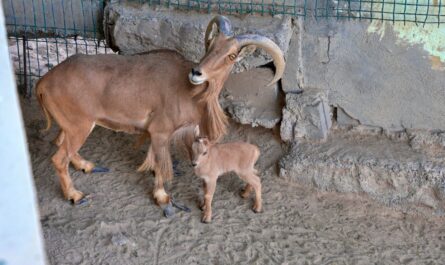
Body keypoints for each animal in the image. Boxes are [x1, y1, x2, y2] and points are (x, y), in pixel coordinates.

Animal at [35, 15, 284, 214]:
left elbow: (155, 159)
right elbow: (161, 162)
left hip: (73, 126)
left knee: (62, 145)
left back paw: (86, 165)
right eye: (210, 44)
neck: (190, 91)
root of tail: (43, 82)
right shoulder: (160, 131)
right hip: (80, 126)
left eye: (231, 55)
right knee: (59, 158)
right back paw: (75, 195)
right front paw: (163, 199)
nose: (197, 72)